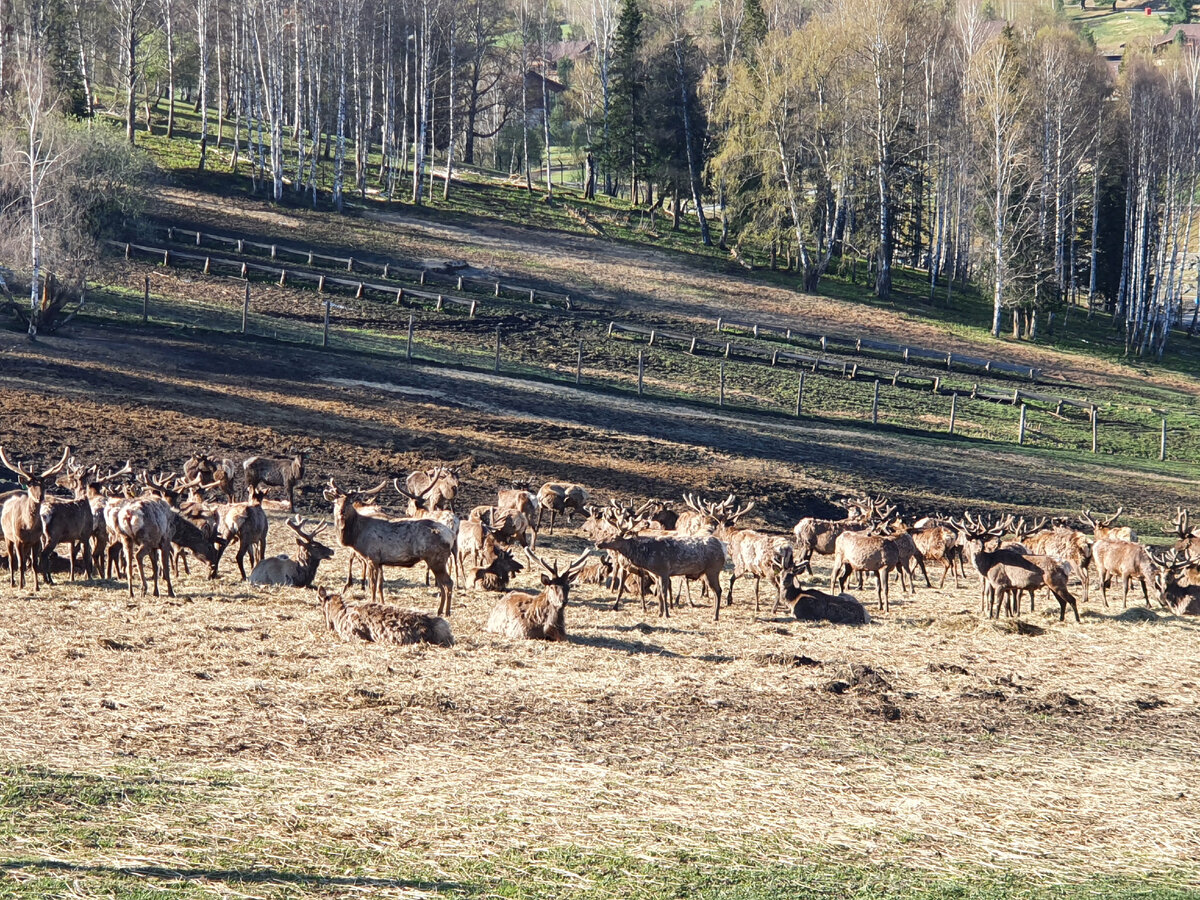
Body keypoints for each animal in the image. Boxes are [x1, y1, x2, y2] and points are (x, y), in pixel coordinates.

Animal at [0, 446, 69, 592]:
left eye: (44, 485)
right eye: (31, 484)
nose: (40, 497)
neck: (29, 526)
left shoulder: (35, 540)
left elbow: (34, 564)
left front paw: (36, 587)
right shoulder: (18, 540)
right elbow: (20, 564)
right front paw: (20, 586)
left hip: (26, 544)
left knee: (25, 560)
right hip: (8, 537)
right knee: (11, 560)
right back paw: (13, 583)